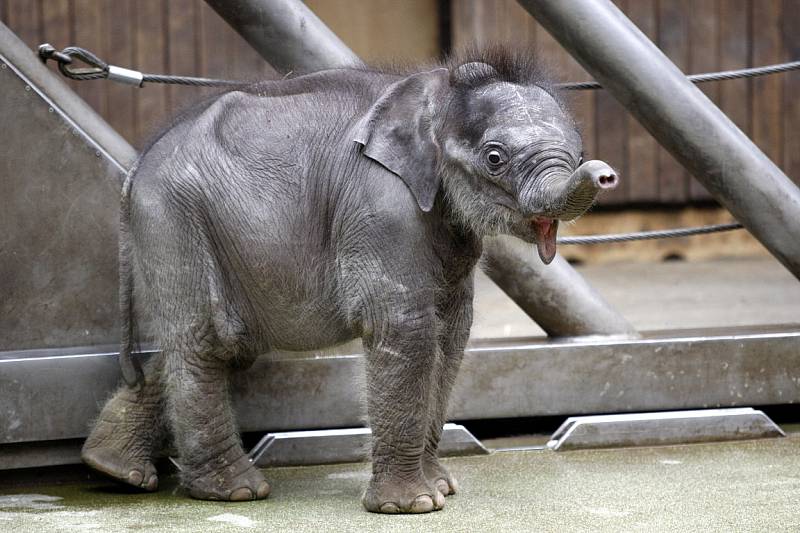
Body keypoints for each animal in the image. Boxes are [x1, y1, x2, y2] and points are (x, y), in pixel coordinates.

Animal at [83, 47, 620, 512]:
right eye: (494, 157)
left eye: (578, 152)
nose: (605, 173)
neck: (437, 91)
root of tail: (136, 168)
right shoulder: (379, 205)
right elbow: (406, 328)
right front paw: (414, 506)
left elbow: (452, 332)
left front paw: (442, 488)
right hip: (174, 219)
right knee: (208, 340)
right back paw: (233, 492)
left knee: (220, 340)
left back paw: (112, 468)